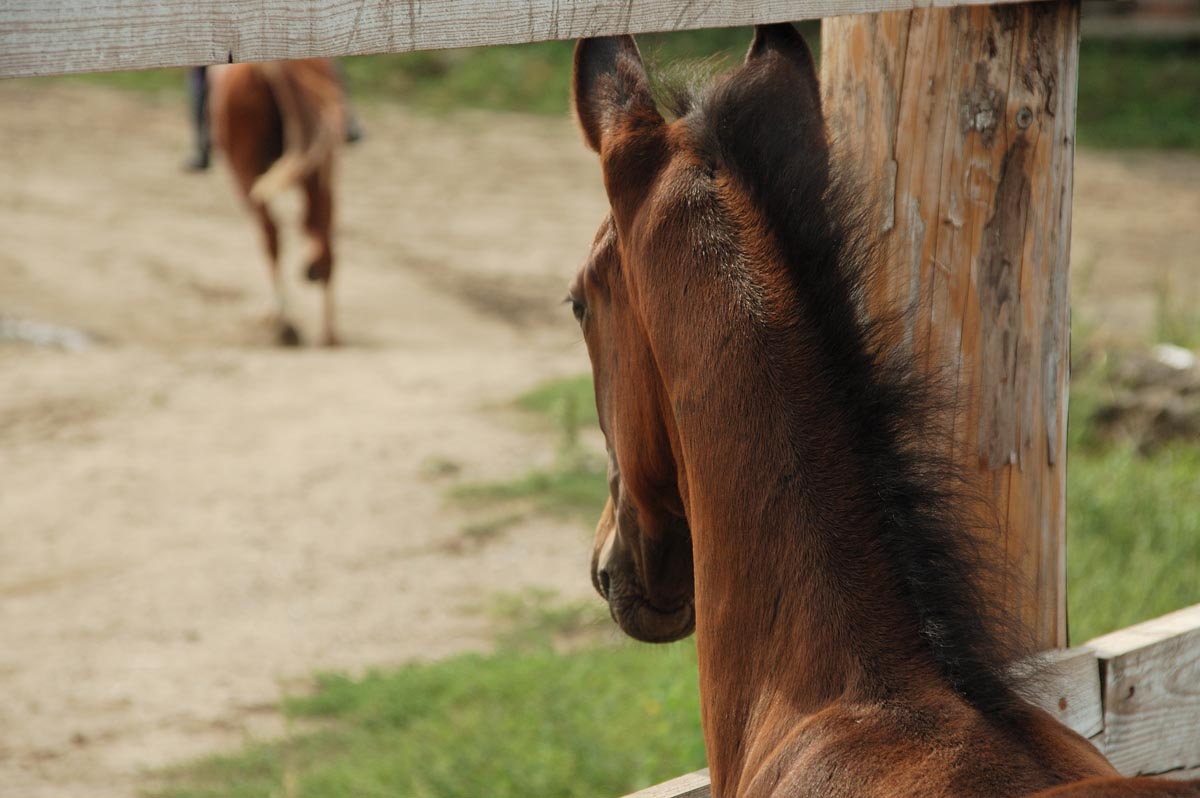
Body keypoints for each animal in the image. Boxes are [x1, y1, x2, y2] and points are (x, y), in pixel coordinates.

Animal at [208, 56, 343, 343]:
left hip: (246, 173)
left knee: (271, 236)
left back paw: (283, 321)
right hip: (320, 173)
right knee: (323, 239)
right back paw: (328, 333)